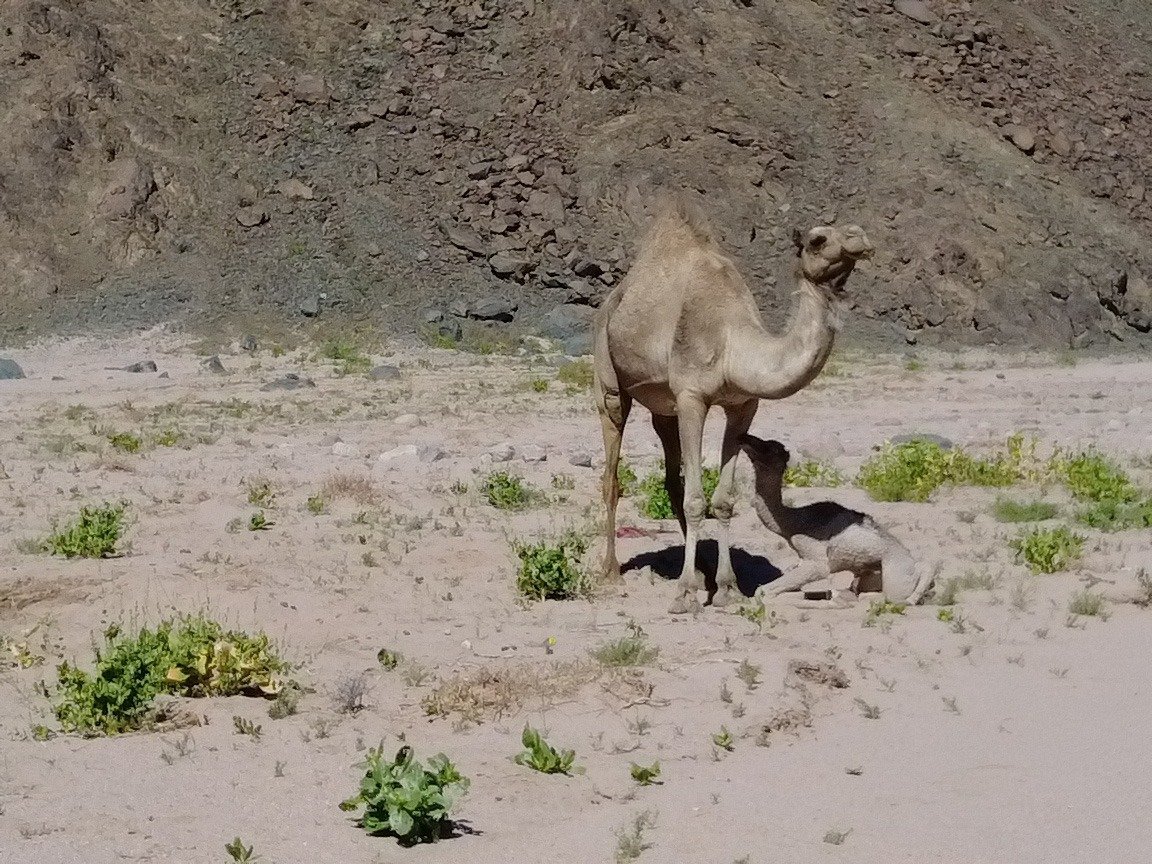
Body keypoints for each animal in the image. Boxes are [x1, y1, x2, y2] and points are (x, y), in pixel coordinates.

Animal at [592, 194, 874, 613]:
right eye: (818, 240)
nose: (859, 238)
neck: (733, 344)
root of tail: (613, 300)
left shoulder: (743, 405)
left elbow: (723, 501)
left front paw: (727, 589)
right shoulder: (692, 398)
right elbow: (696, 500)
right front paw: (685, 596)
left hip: (663, 407)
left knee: (671, 477)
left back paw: (702, 572)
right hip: (608, 376)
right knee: (612, 468)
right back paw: (611, 572)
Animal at [739, 435, 935, 606]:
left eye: (771, 448)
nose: (746, 438)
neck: (793, 521)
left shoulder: (815, 559)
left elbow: (763, 591)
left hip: (895, 575)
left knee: (895, 595)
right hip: (871, 573)